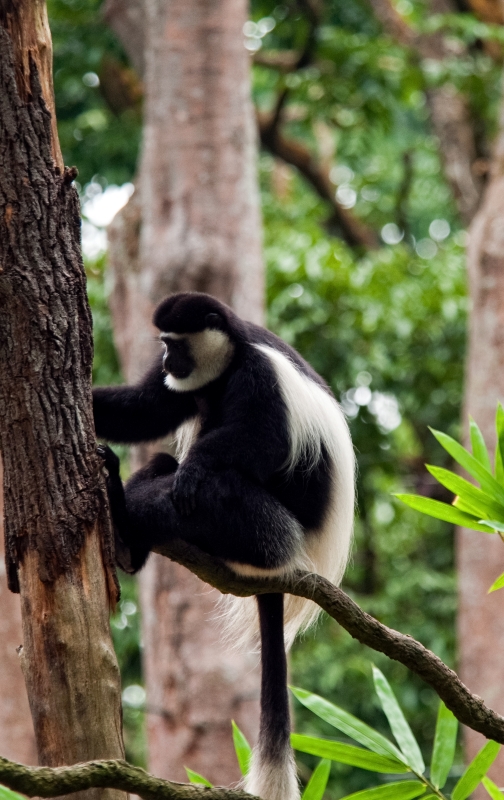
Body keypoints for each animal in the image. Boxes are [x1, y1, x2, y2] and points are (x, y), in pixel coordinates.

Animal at [93, 292, 354, 800]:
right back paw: (126, 534)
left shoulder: (260, 378)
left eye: (177, 344)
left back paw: (129, 515)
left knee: (209, 490)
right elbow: (143, 409)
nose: (169, 363)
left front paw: (195, 466)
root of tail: (292, 563)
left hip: (268, 533)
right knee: (160, 461)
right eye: (164, 344)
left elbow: (265, 444)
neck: (230, 359)